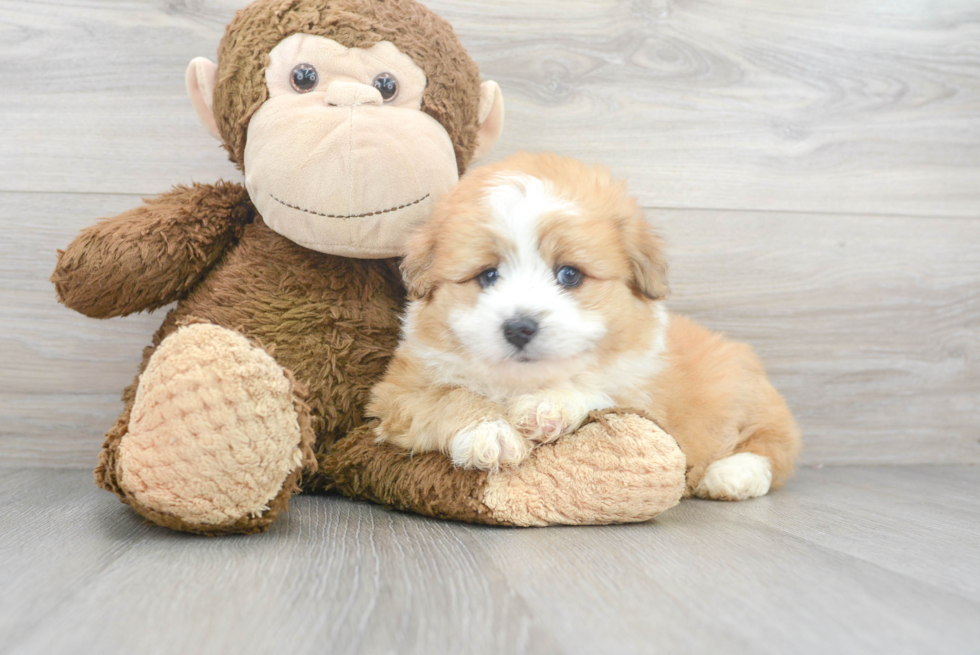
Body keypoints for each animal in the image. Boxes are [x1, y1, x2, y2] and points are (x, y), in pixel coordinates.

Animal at [372, 154, 800, 502]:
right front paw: (488, 431)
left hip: (747, 393)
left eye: (569, 274)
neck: (520, 382)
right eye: (488, 275)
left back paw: (732, 474)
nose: (520, 327)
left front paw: (551, 404)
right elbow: (446, 396)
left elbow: (599, 390)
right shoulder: (395, 395)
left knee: (775, 445)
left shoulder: (647, 400)